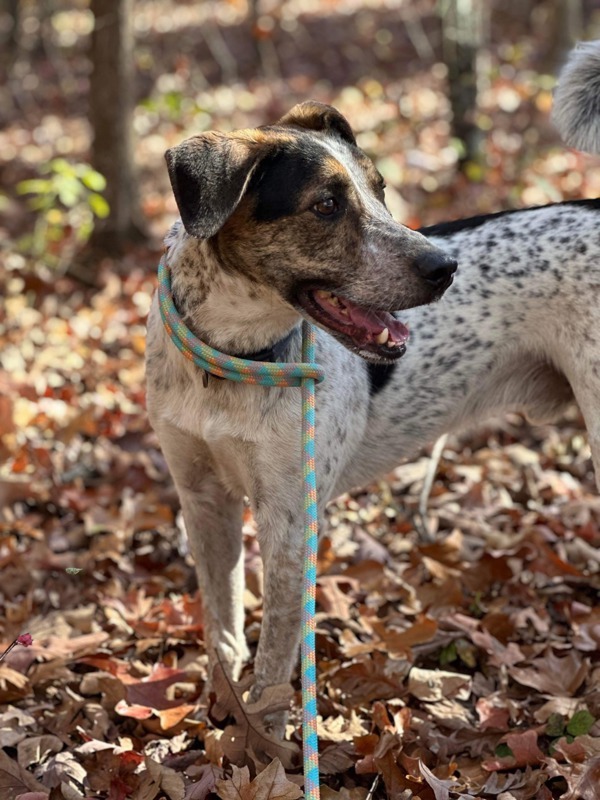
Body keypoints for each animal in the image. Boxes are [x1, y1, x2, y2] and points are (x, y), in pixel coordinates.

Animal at [144, 43, 600, 728]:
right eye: (327, 205)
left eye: (380, 192)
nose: (446, 269)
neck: (232, 360)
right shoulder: (202, 497)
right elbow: (223, 627)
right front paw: (220, 707)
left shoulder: (290, 521)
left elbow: (274, 662)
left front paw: (265, 740)